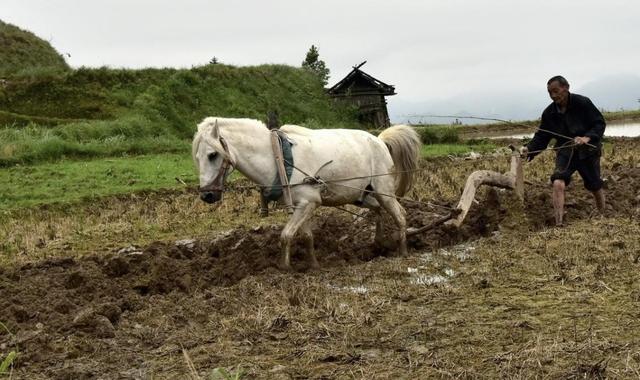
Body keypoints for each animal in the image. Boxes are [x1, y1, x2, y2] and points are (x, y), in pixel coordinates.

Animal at [191, 117, 420, 268]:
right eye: (197, 157)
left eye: (213, 155)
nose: (206, 195)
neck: (277, 158)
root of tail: (380, 140)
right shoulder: (302, 205)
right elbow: (307, 236)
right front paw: (313, 265)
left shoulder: (309, 202)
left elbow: (286, 235)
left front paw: (283, 268)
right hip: (362, 195)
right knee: (378, 210)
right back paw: (378, 244)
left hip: (383, 190)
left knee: (400, 214)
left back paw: (402, 251)